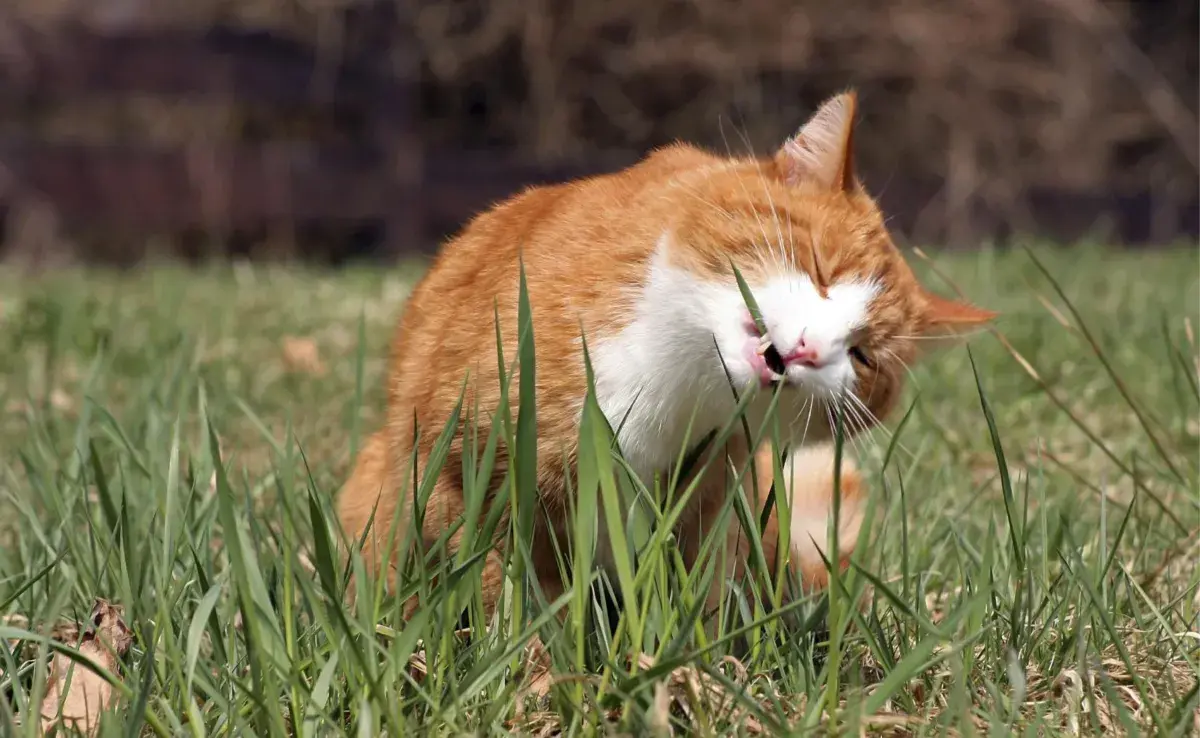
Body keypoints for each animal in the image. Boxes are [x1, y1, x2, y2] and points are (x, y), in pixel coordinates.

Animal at [336, 88, 993, 652]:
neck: (674, 378)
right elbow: (507, 597)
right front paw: (533, 675)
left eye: (863, 355)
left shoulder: (711, 502)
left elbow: (697, 604)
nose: (810, 348)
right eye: (819, 268)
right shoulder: (467, 480)